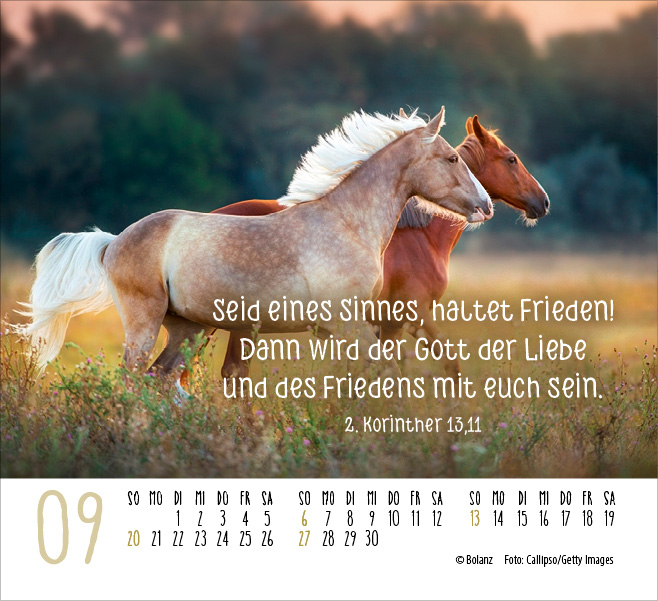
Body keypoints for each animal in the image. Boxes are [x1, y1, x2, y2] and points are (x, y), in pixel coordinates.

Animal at [18, 107, 493, 381]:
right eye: (452, 158)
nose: (485, 205)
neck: (347, 223)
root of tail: (113, 241)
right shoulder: (348, 324)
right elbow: (381, 376)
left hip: (186, 329)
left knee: (160, 380)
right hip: (144, 324)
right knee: (134, 381)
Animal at [190, 113, 548, 381]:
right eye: (512, 159)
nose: (543, 202)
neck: (421, 235)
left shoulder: (385, 326)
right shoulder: (408, 317)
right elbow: (438, 365)